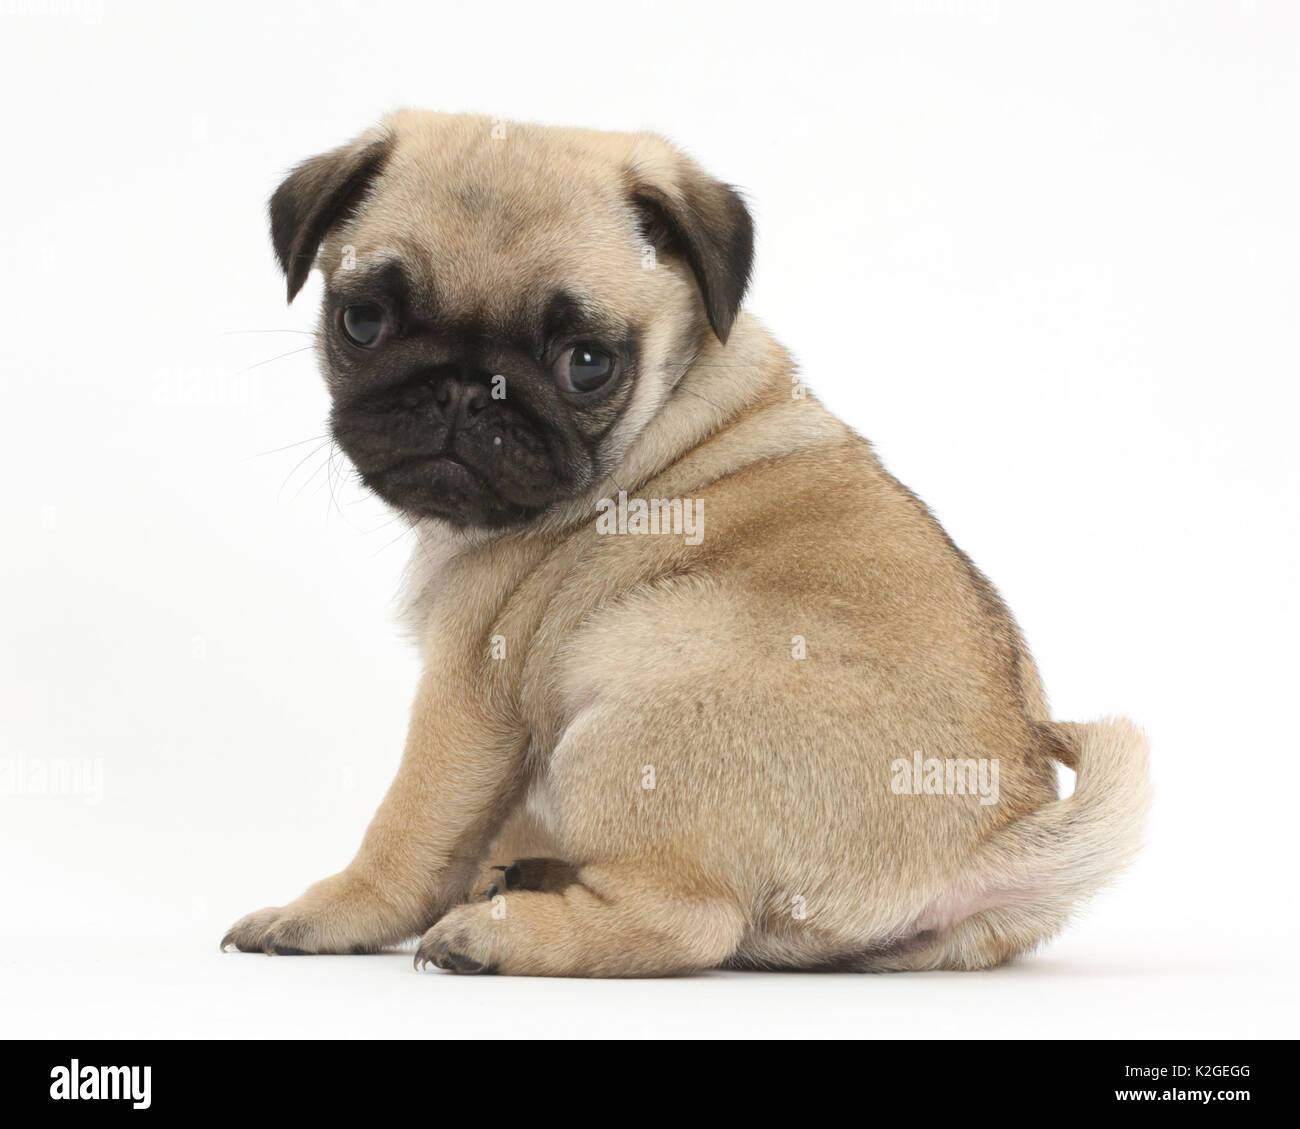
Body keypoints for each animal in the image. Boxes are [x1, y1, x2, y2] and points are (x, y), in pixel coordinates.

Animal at [220, 117, 1149, 978]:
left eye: (586, 364)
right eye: (363, 322)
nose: (464, 391)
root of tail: (992, 842)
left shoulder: (470, 684)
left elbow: (411, 826)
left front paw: (331, 912)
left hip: (630, 685)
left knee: (688, 922)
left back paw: (504, 933)